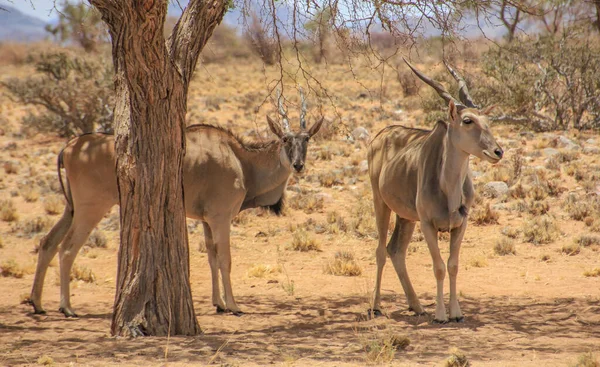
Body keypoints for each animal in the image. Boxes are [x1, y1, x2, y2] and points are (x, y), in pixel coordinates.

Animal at [29, 90, 324, 320]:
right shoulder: (220, 218)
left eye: (306, 139)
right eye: (285, 140)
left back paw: (38, 304)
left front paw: (218, 304)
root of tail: (71, 146)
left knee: (47, 242)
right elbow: (225, 259)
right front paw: (233, 305)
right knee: (67, 249)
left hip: (71, 209)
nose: (298, 165)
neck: (241, 159)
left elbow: (212, 258)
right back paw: (67, 308)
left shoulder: (206, 221)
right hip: (90, 209)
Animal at [368, 59, 504, 322]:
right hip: (381, 203)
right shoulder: (428, 225)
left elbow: (453, 265)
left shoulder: (460, 225)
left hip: (406, 217)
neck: (448, 189)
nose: (497, 152)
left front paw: (456, 313)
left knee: (395, 250)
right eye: (468, 120)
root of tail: (381, 134)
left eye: (488, 121)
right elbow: (439, 267)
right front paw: (441, 315)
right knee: (380, 251)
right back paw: (376, 306)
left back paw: (417, 306)